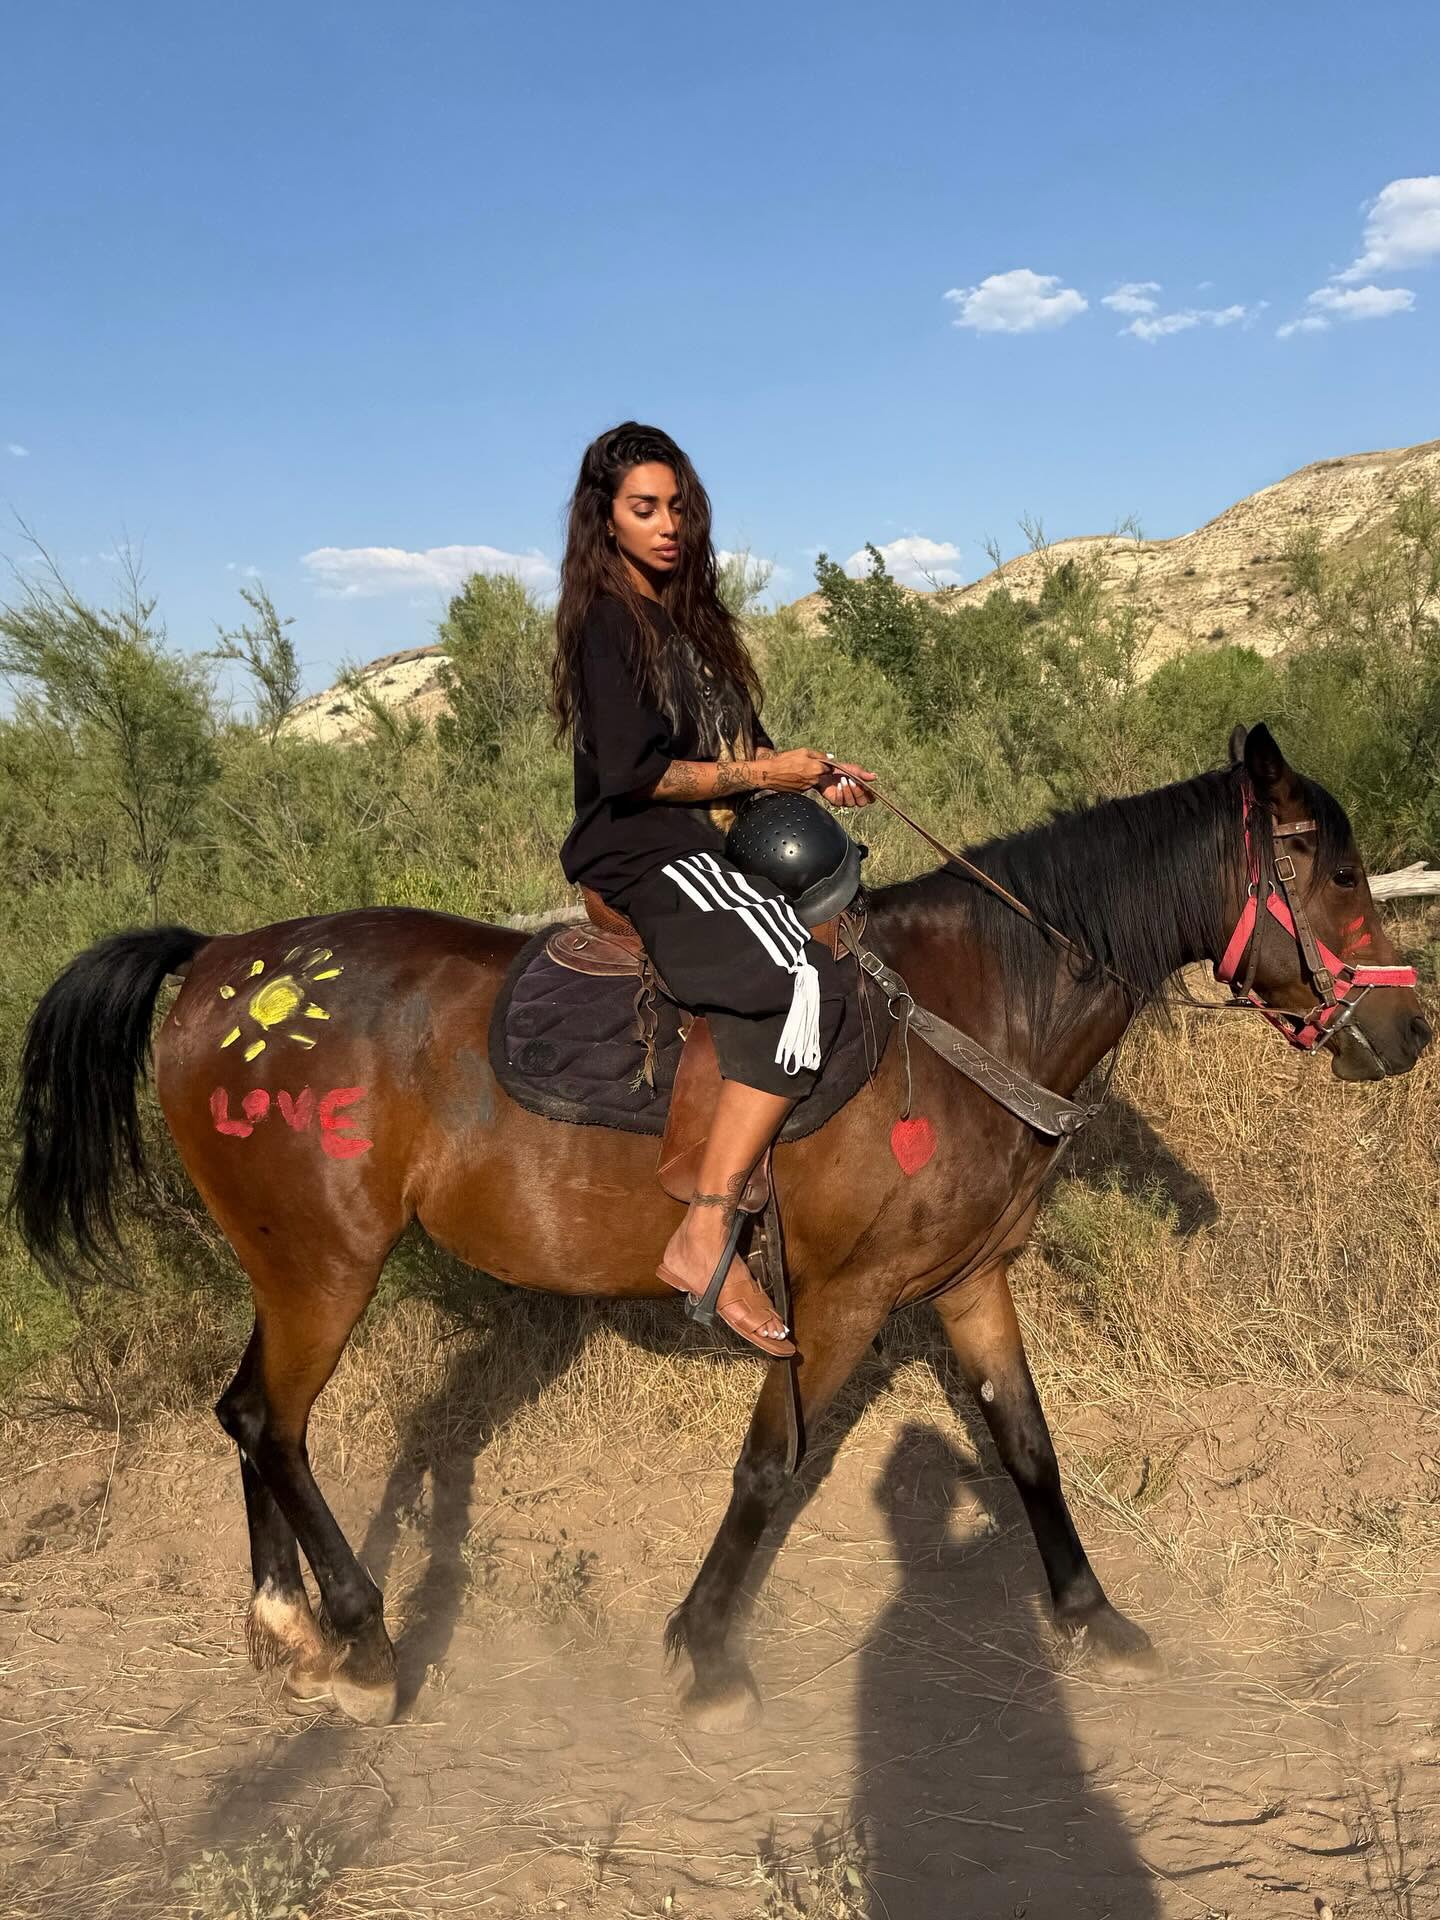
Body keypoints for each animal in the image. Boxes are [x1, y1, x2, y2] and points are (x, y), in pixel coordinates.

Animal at [11, 725, 1429, 1730]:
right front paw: (704, 1655)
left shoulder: (967, 1281)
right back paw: (360, 1637)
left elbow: (1028, 1445)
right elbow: (769, 1468)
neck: (965, 1019)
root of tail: (216, 964)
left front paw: (1092, 1616)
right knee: (272, 1420)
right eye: (1330, 863)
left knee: (249, 1414)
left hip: (291, 1265)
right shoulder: (842, 1299)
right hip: (324, 1264)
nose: (1407, 1030)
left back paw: (289, 1628)